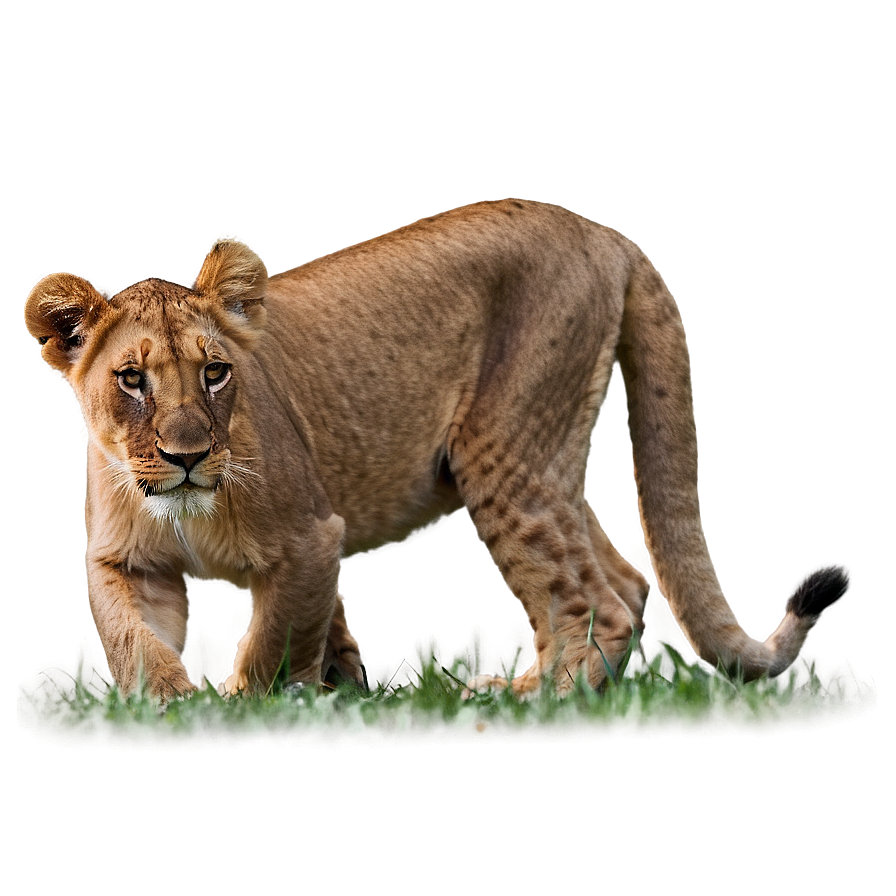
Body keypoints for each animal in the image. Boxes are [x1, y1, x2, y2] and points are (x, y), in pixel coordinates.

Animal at [24, 199, 849, 702]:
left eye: (215, 371)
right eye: (132, 380)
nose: (189, 456)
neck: (185, 509)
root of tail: (601, 232)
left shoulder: (310, 537)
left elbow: (272, 644)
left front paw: (243, 708)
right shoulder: (126, 561)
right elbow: (134, 640)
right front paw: (171, 706)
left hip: (500, 447)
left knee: (595, 600)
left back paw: (523, 705)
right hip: (541, 450)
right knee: (622, 582)